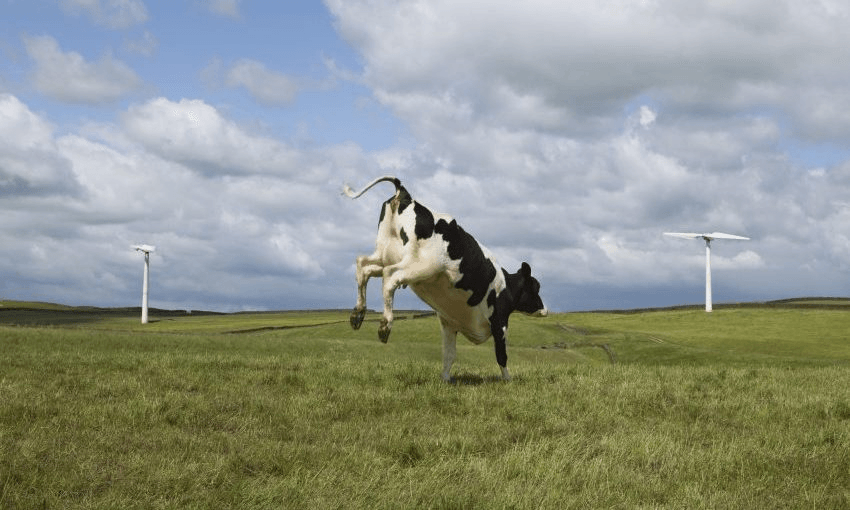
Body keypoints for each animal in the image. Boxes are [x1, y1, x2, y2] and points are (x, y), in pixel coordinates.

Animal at [343, 175, 547, 381]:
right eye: (536, 288)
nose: (545, 309)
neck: (505, 286)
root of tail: (407, 196)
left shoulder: (450, 324)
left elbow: (449, 354)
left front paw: (446, 379)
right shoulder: (500, 323)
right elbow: (501, 355)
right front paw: (507, 380)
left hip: (385, 254)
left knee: (363, 266)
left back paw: (357, 314)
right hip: (420, 264)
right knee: (391, 277)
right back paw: (385, 325)